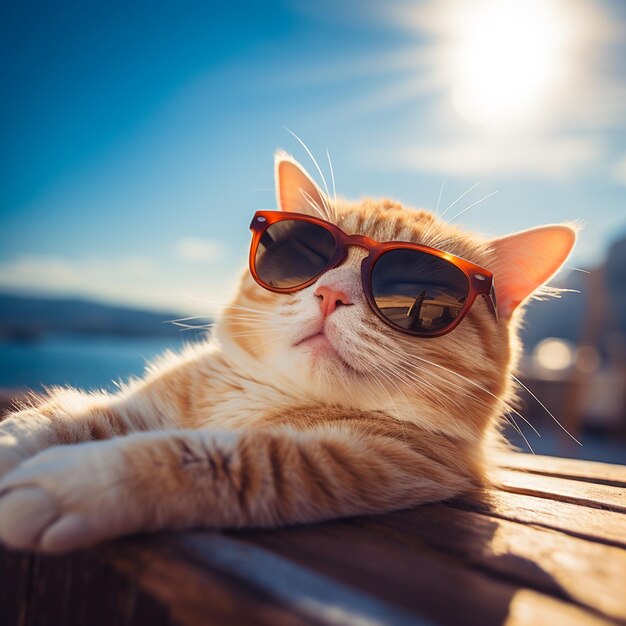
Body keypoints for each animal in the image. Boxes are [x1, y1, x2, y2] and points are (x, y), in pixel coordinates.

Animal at [0, 151, 576, 552]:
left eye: (423, 293)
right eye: (309, 254)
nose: (331, 294)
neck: (268, 397)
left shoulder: (364, 458)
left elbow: (209, 456)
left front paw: (73, 485)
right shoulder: (141, 408)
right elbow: (59, 418)